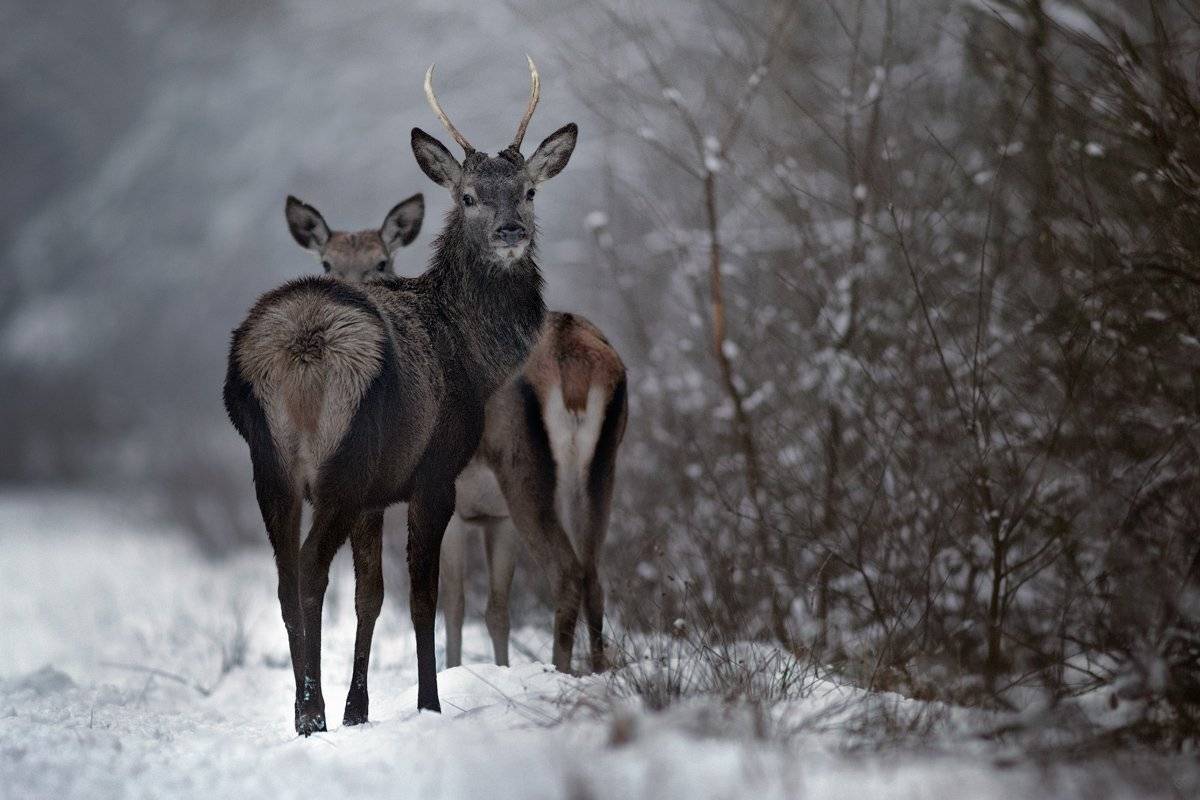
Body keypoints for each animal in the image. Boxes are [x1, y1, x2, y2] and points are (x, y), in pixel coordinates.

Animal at [223, 57, 577, 734]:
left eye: (529, 190)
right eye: (467, 196)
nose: (511, 231)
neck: (474, 357)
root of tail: (298, 350)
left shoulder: (374, 495)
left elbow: (371, 596)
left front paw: (360, 709)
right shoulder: (432, 470)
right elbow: (422, 598)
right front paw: (427, 702)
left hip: (269, 462)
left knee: (284, 577)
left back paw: (310, 709)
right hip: (343, 456)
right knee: (309, 568)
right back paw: (311, 713)